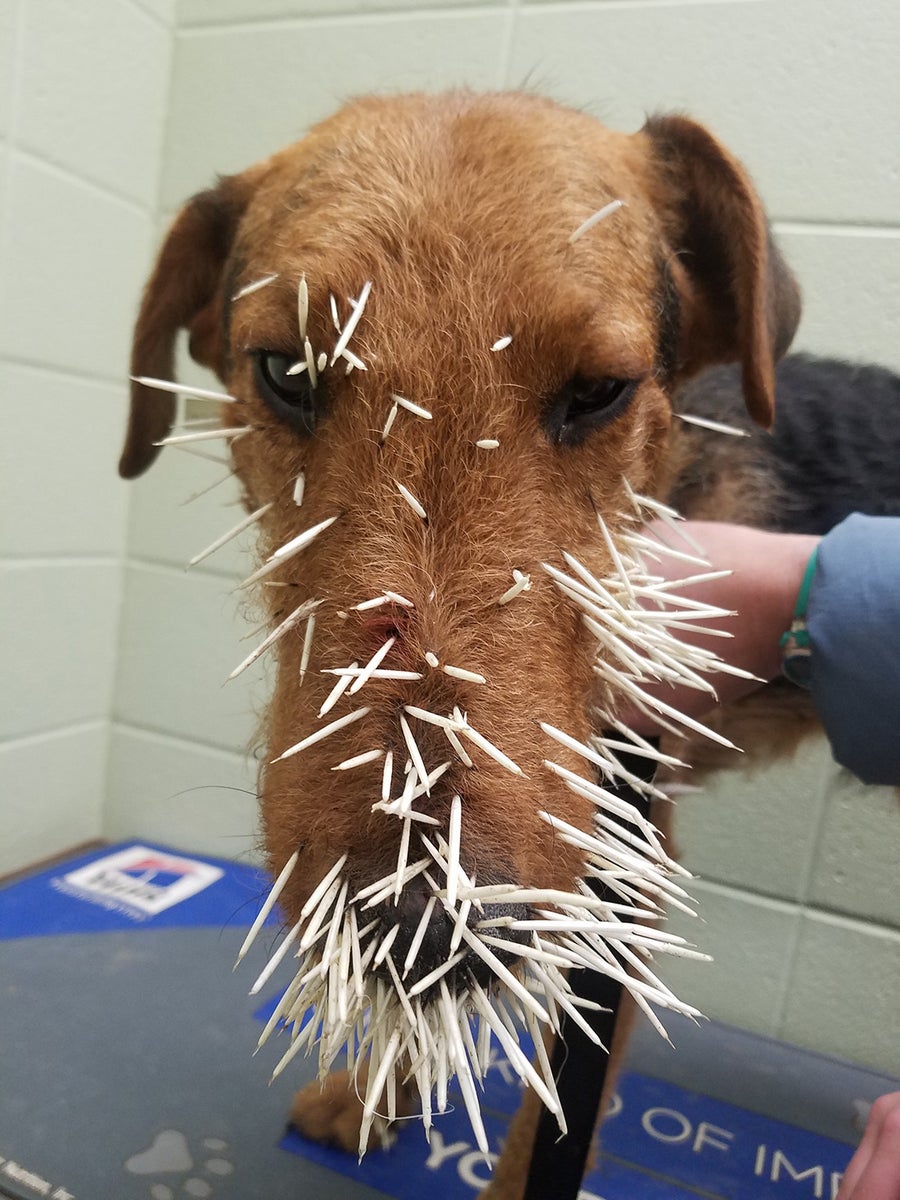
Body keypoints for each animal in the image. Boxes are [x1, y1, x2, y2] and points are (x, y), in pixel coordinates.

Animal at [116, 88, 844, 1195]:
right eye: (285, 370)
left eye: (601, 390)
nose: (422, 921)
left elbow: (544, 1130)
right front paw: (371, 1098)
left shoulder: (625, 865)